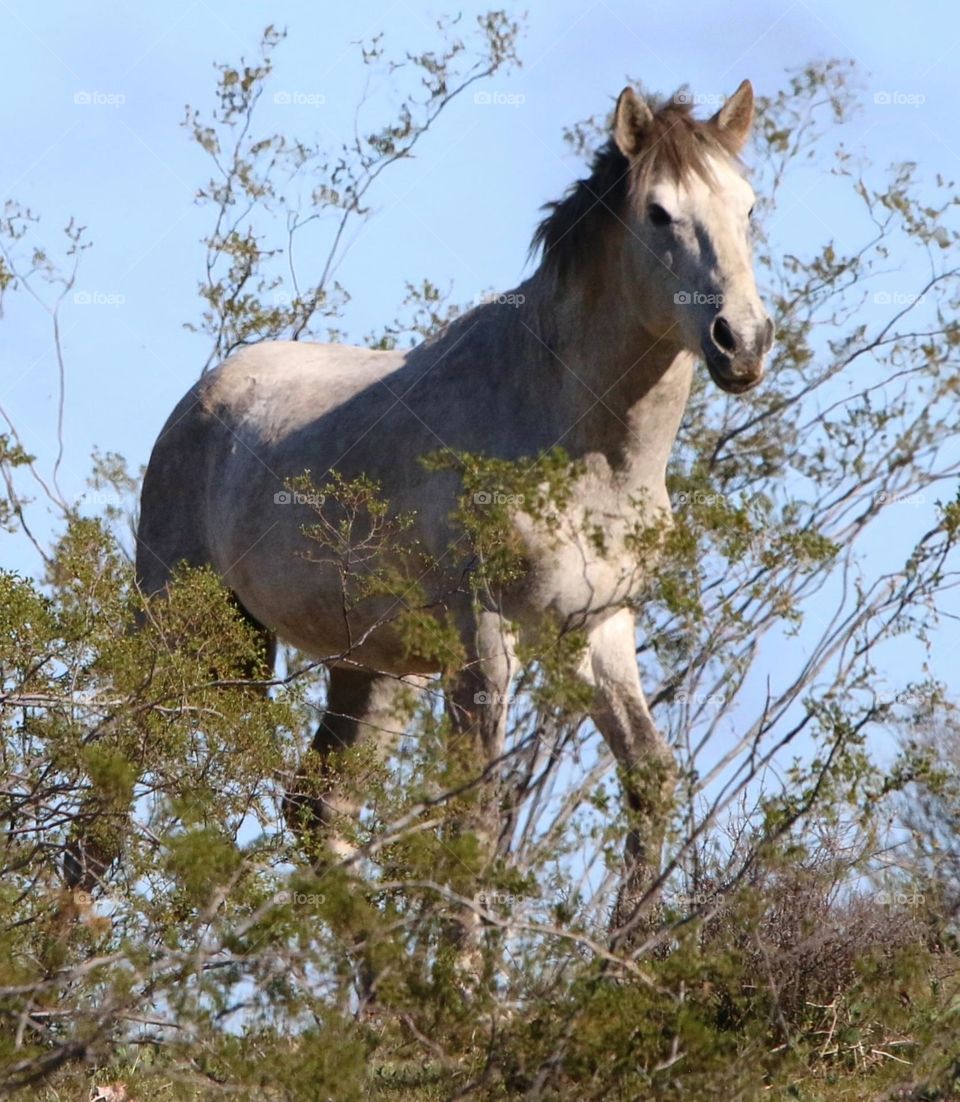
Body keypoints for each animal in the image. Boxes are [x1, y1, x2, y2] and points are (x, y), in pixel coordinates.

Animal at [81, 80, 773, 943]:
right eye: (657, 212)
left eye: (749, 206)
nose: (741, 342)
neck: (583, 448)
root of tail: (200, 401)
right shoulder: (483, 635)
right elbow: (472, 820)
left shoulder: (599, 629)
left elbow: (651, 780)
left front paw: (623, 954)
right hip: (176, 624)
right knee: (108, 794)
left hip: (373, 670)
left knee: (316, 808)